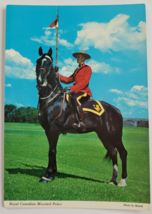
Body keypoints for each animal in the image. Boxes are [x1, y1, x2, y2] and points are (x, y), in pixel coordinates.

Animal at [35, 46, 127, 186]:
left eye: (49, 63)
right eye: (37, 61)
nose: (41, 81)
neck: (52, 99)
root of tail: (117, 110)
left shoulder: (53, 129)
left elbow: (52, 151)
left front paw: (47, 175)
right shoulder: (48, 130)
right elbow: (53, 150)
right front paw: (52, 174)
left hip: (115, 135)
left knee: (123, 152)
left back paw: (122, 181)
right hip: (104, 135)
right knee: (113, 152)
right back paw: (112, 180)